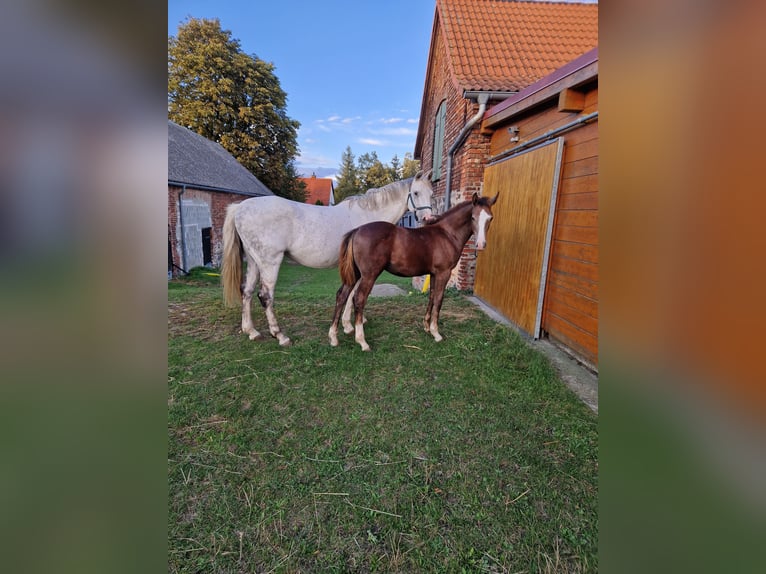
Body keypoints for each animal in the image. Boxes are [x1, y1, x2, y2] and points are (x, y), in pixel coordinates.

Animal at [225, 172, 436, 346]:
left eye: (431, 194)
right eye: (416, 193)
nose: (427, 219)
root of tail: (241, 207)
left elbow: (349, 295)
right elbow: (352, 295)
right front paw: (349, 326)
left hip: (254, 261)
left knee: (247, 292)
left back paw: (251, 331)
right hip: (270, 262)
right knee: (265, 296)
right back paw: (280, 335)